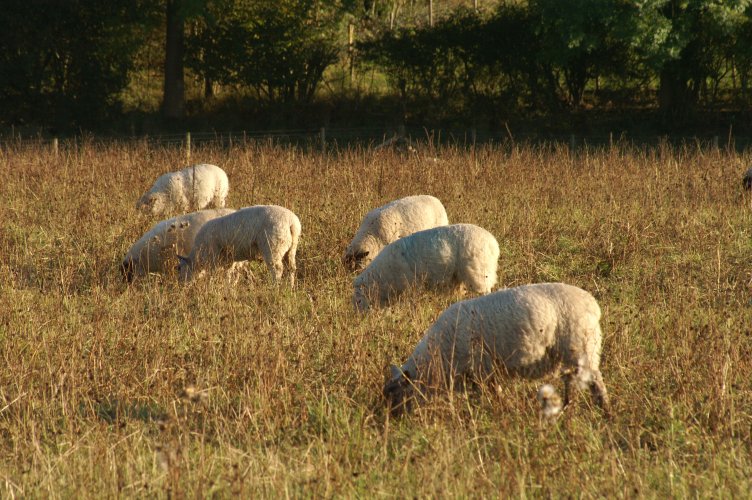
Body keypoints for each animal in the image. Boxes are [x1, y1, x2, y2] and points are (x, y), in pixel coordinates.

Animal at [383, 282, 610, 417]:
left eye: (396, 394)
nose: (392, 420)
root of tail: (593, 304)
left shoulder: (483, 370)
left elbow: (493, 395)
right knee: (572, 380)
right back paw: (566, 408)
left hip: (581, 347)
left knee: (596, 381)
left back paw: (605, 410)